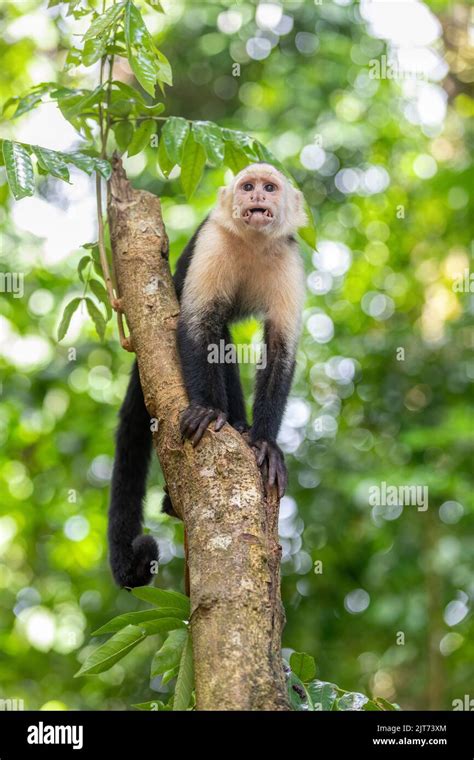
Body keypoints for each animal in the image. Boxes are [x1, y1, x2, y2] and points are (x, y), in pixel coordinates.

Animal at [108, 162, 308, 588]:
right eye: (247, 186)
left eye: (270, 188)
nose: (256, 196)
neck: (252, 243)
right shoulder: (213, 240)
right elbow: (200, 326)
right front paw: (207, 411)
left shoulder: (288, 257)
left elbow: (280, 351)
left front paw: (266, 443)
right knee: (219, 334)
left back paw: (244, 428)